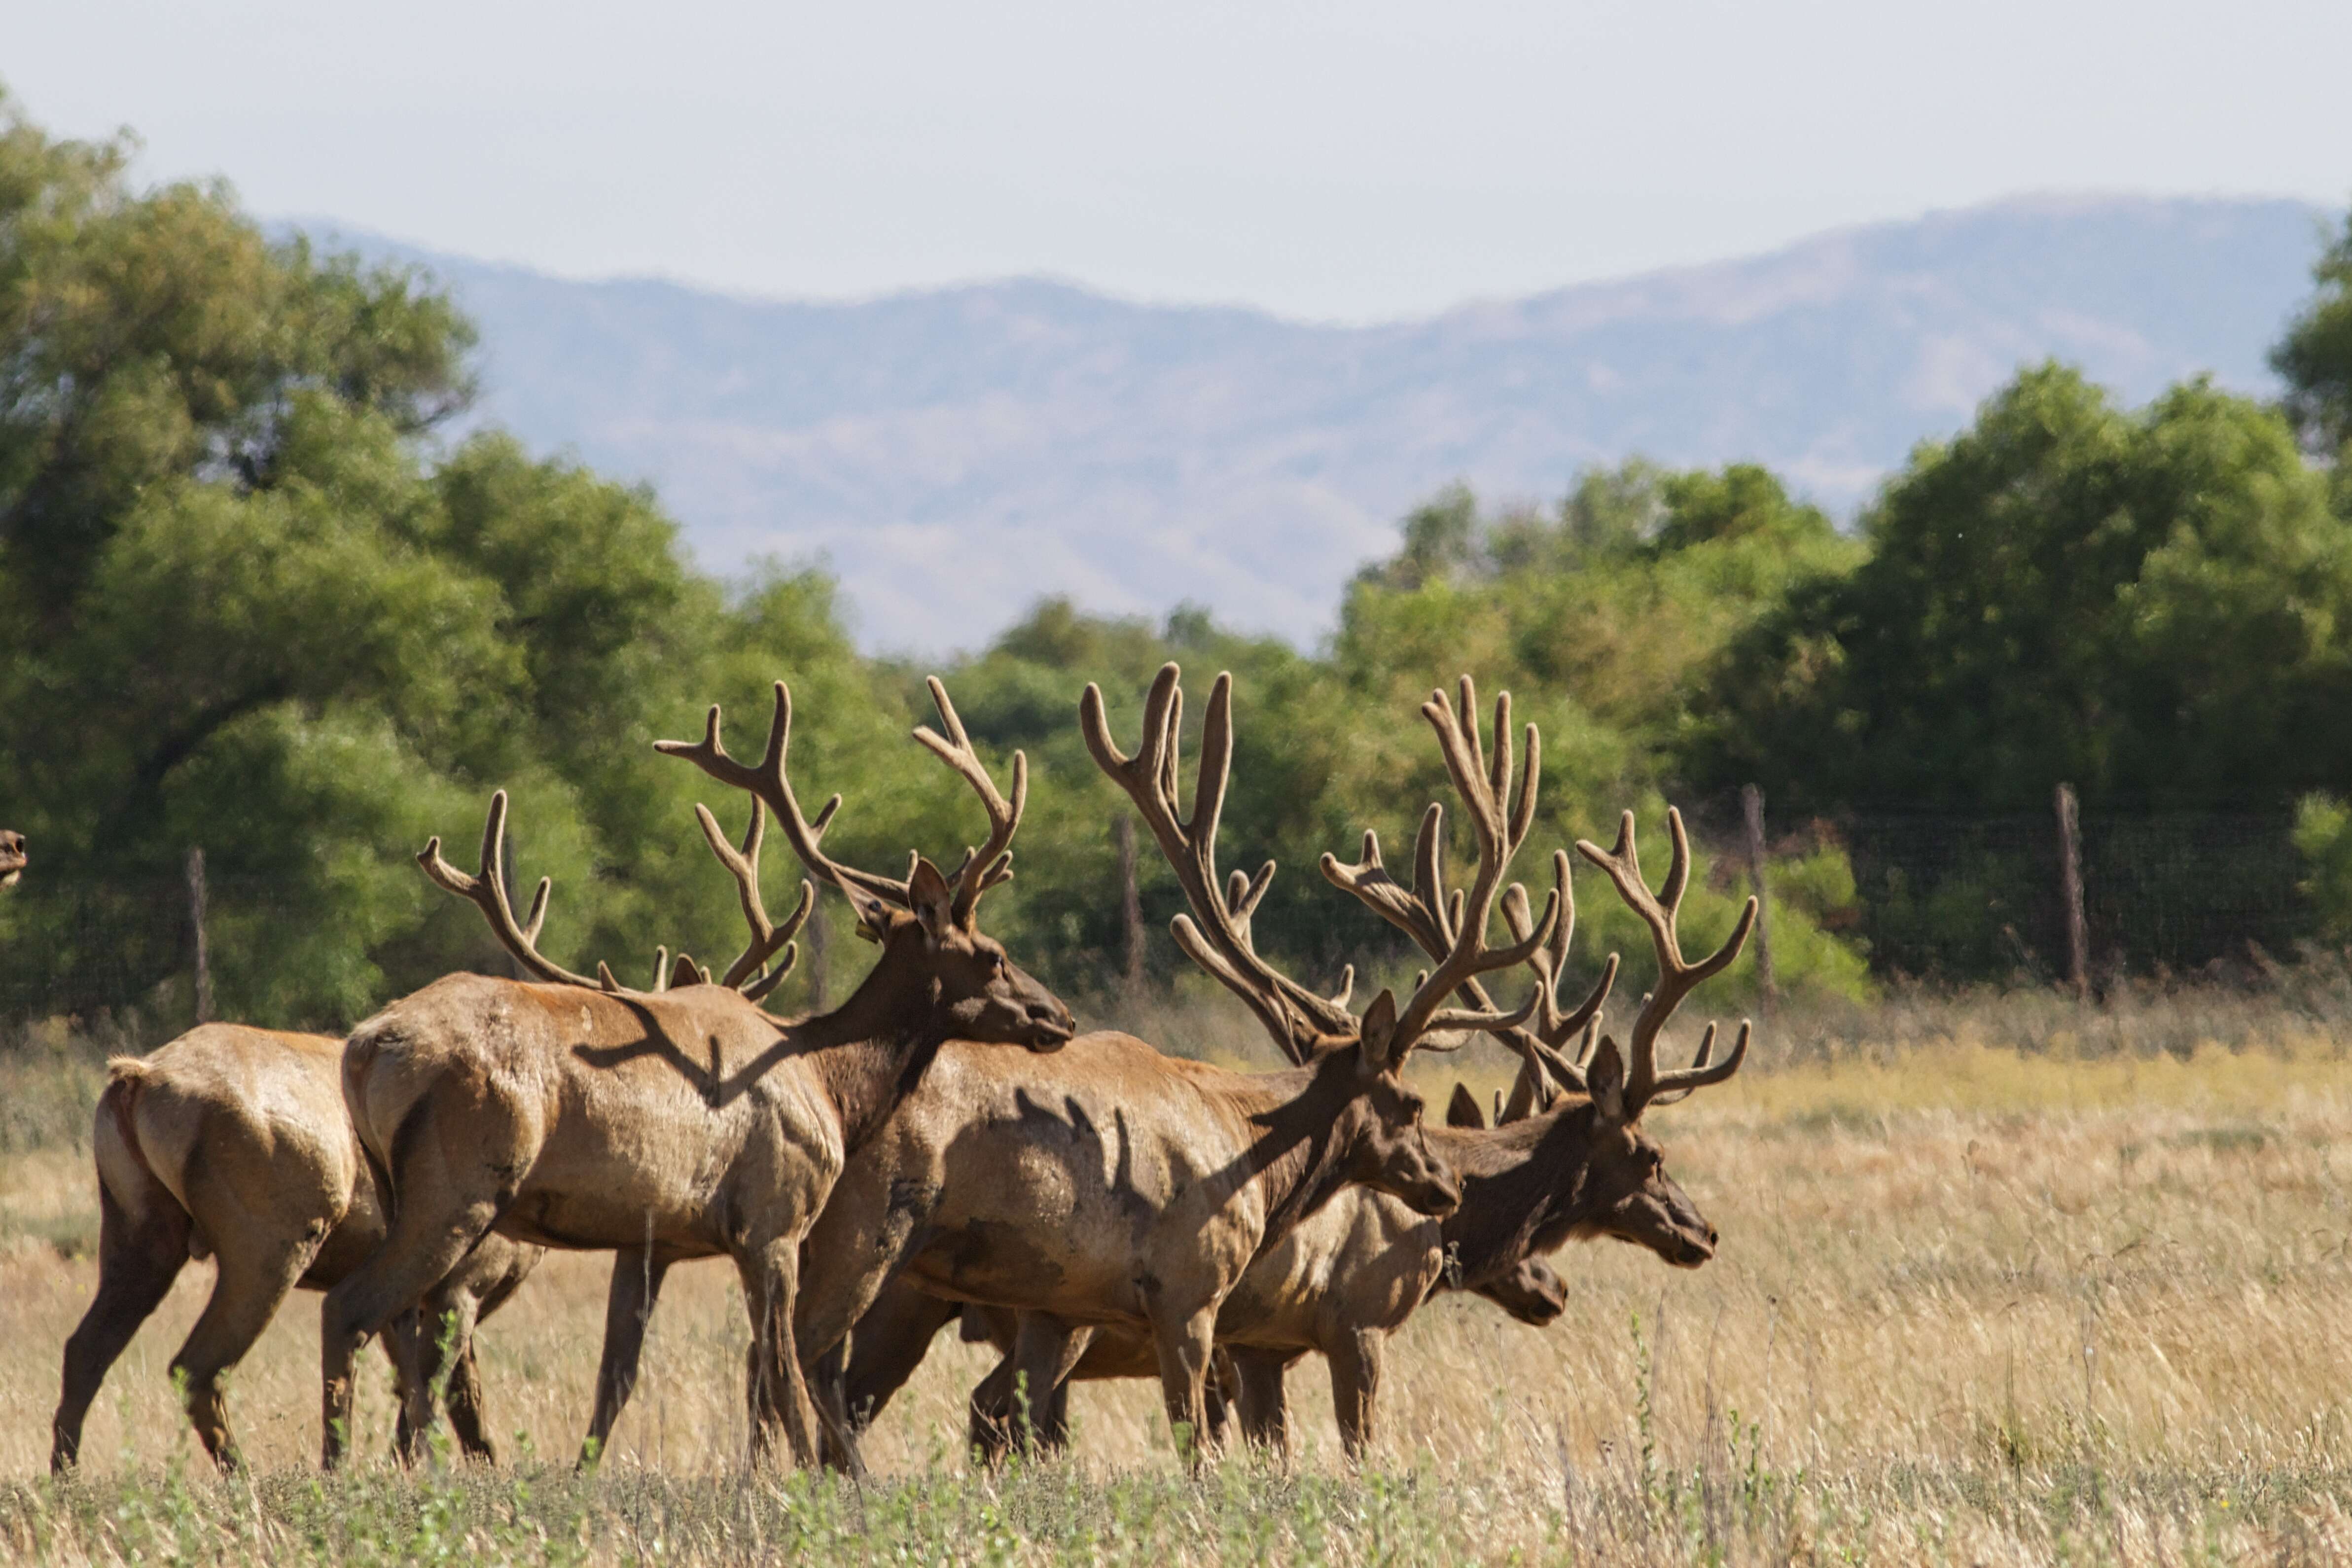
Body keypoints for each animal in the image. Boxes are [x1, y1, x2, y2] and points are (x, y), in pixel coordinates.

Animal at [50, 1025, 538, 1476]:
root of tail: (135, 1081)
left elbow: (433, 1394)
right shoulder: (465, 1282)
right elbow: (449, 1398)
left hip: (140, 1234)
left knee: (85, 1350)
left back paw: (66, 1481)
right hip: (270, 1245)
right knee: (196, 1367)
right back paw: (251, 1483)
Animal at [322, 677, 1077, 1476]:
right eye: (994, 955)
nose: (1058, 1016)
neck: (834, 1086)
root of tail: (364, 1048)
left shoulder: (679, 1238)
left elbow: (680, 1371)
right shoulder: (774, 1215)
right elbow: (783, 1370)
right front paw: (806, 1481)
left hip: (407, 1189)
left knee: (406, 1337)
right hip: (459, 1182)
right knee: (354, 1310)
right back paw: (340, 1472)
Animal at [781, 668, 1562, 1476]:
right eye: (1411, 1102)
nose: (1447, 1186)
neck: (1254, 1162)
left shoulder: (1064, 1307)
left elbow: (1026, 1424)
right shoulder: (1191, 1289)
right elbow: (1197, 1450)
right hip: (863, 1234)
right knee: (801, 1359)